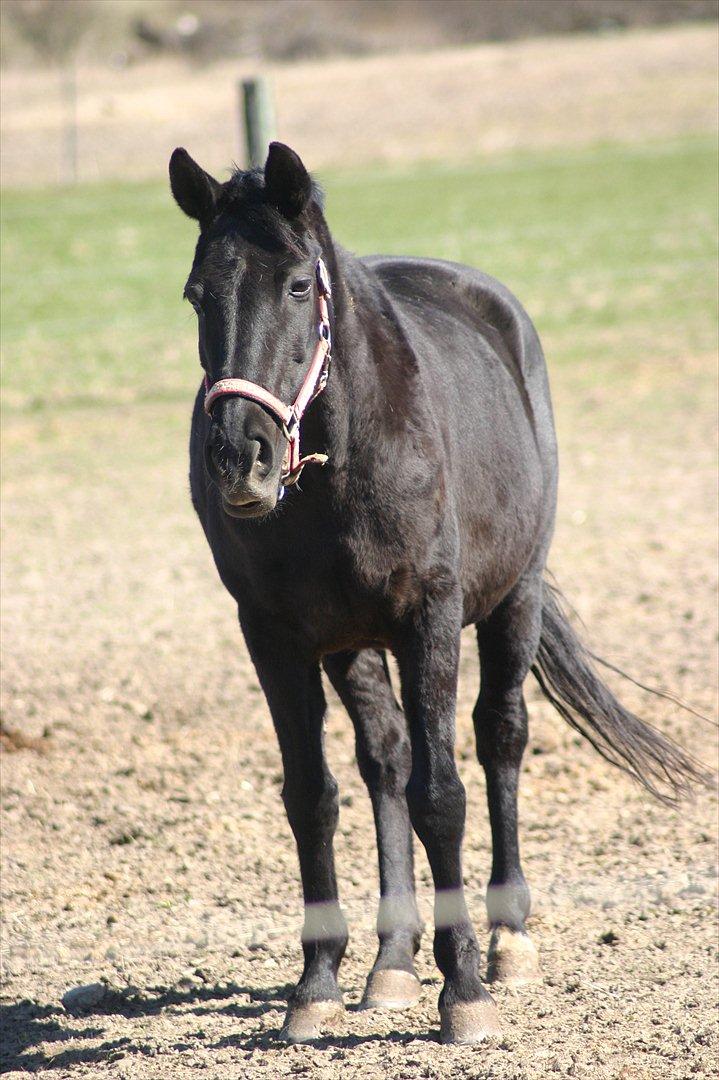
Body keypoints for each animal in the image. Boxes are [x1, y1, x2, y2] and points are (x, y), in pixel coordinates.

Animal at [169, 139, 703, 1041]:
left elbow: (441, 795)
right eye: (197, 294)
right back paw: (390, 959)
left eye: (298, 286)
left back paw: (506, 939)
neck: (340, 470)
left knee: (499, 739)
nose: (240, 457)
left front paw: (465, 992)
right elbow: (312, 797)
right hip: (350, 644)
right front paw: (316, 984)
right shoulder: (274, 635)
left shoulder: (431, 618)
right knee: (382, 761)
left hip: (514, 599)